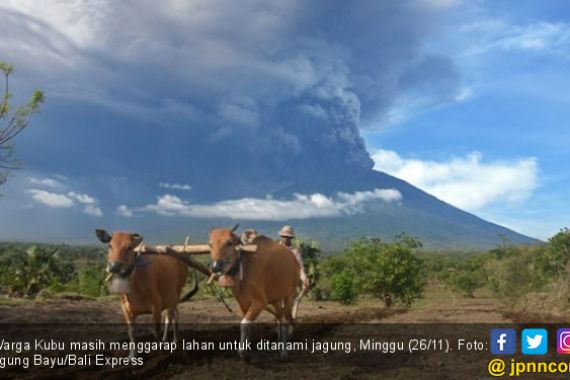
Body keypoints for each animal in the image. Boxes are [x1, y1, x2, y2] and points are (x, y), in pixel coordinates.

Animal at [95, 229, 197, 360]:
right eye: (110, 245)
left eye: (130, 247)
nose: (114, 266)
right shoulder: (125, 310)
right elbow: (131, 333)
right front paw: (132, 355)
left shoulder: (156, 306)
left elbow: (156, 331)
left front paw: (158, 354)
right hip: (170, 298)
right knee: (175, 313)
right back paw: (173, 340)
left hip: (176, 292)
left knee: (170, 317)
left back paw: (170, 341)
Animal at [207, 226, 298, 362]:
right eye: (210, 244)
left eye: (229, 243)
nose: (215, 267)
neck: (245, 267)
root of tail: (293, 258)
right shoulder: (242, 302)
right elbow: (247, 324)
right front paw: (248, 352)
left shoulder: (260, 302)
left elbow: (244, 324)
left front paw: (244, 354)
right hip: (276, 299)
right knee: (279, 317)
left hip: (289, 295)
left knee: (285, 321)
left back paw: (284, 353)